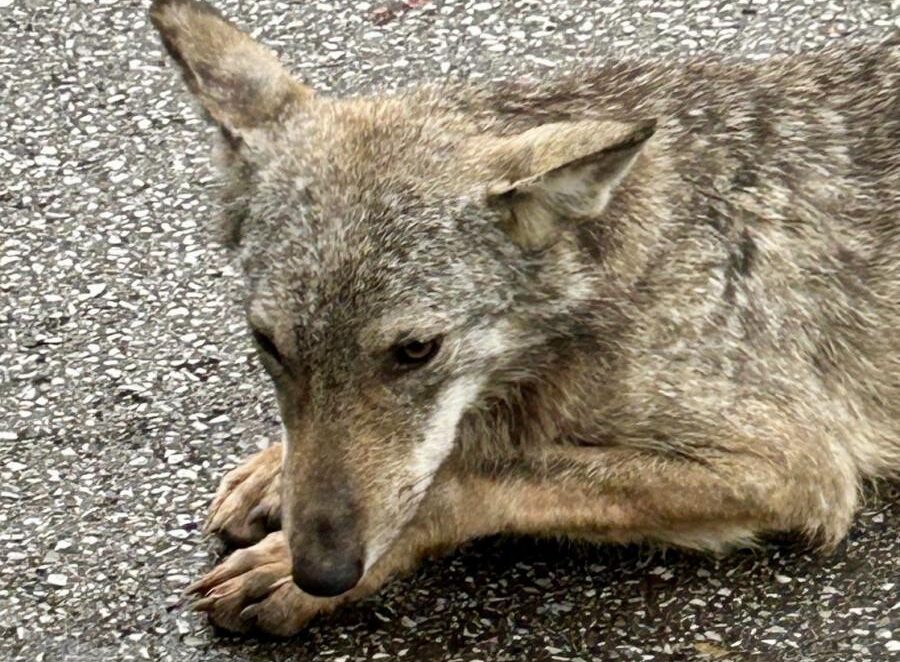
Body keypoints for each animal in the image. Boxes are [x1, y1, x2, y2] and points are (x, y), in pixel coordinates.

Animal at [149, 0, 900, 637]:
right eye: (269, 344)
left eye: (417, 350)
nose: (321, 571)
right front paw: (275, 472)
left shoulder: (793, 467)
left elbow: (472, 480)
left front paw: (294, 569)